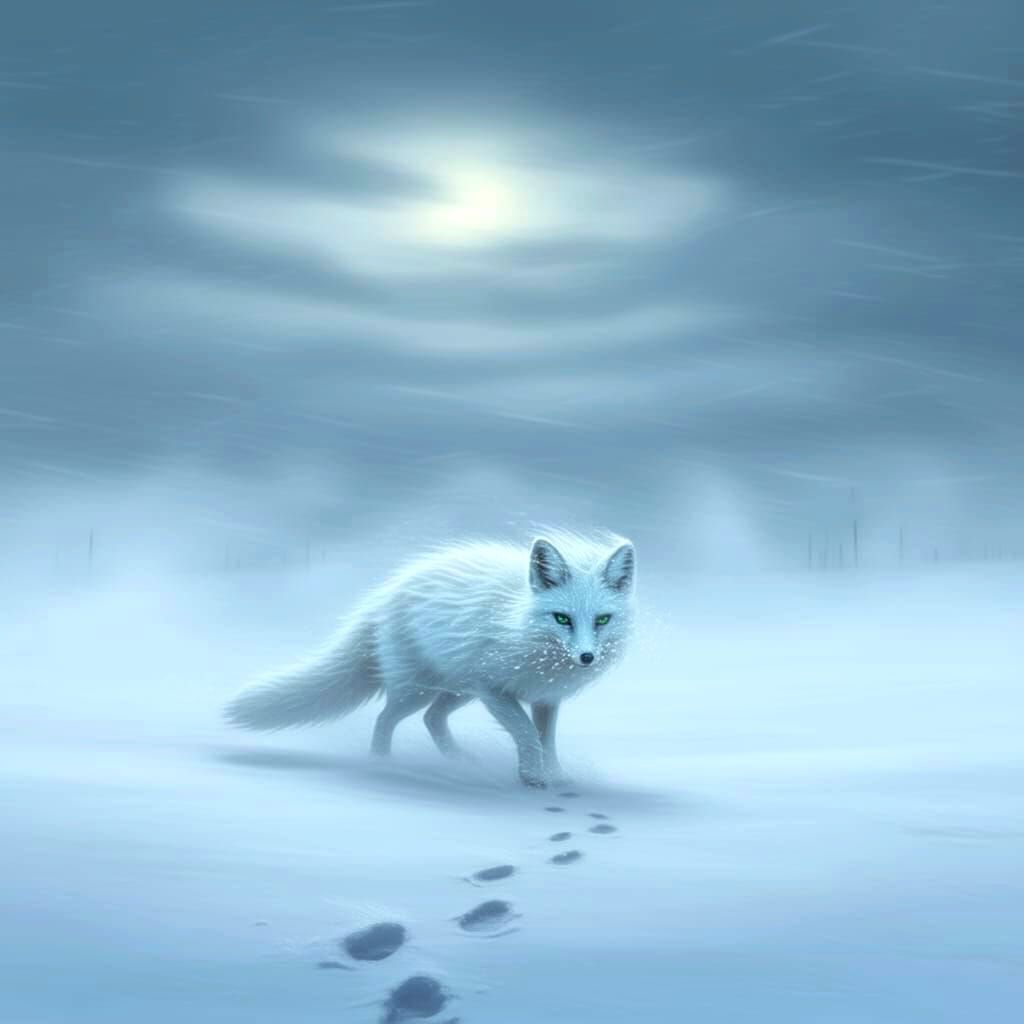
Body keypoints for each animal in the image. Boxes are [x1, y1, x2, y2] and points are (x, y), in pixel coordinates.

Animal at [224, 531, 636, 787]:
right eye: (562, 618)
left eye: (602, 619)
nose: (586, 657)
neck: (518, 621)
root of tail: (384, 595)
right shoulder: (494, 689)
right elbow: (525, 734)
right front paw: (532, 778)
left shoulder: (545, 698)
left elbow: (546, 740)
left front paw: (556, 776)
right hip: (419, 690)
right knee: (386, 718)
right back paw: (382, 764)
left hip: (458, 692)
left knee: (432, 718)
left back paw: (457, 760)